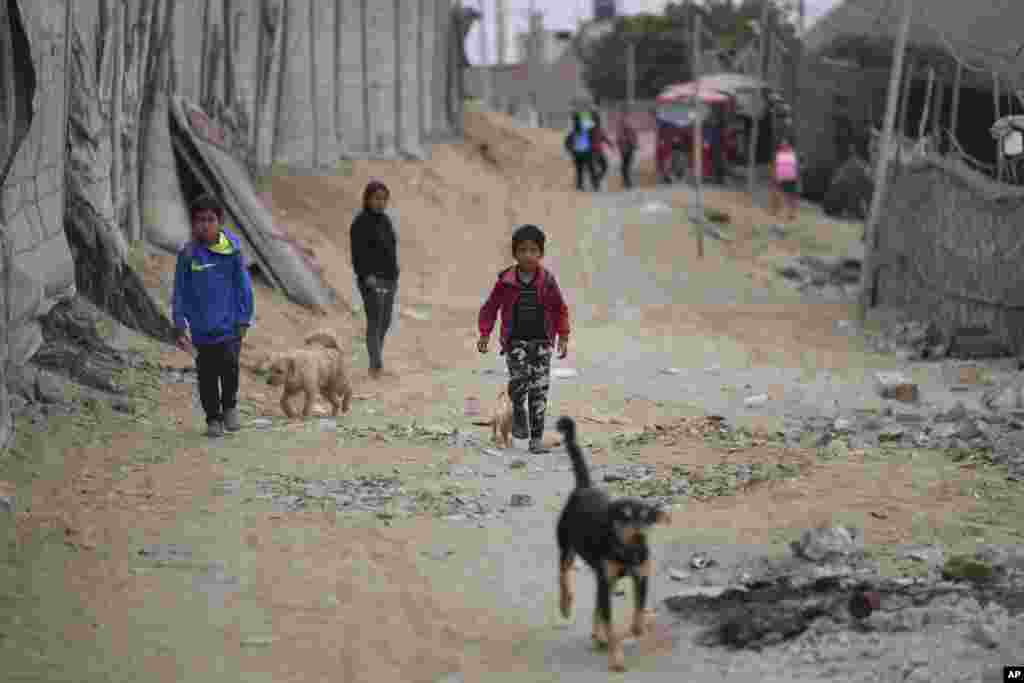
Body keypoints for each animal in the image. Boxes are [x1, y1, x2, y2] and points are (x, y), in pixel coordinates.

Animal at [557, 417, 675, 671]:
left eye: (647, 517)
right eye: (625, 516)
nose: (639, 535)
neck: (627, 551)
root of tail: (584, 487)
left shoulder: (641, 577)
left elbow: (637, 614)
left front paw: (636, 630)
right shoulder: (607, 579)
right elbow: (611, 625)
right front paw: (617, 657)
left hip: (604, 579)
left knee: (596, 606)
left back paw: (597, 635)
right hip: (567, 548)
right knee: (563, 576)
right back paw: (565, 605)